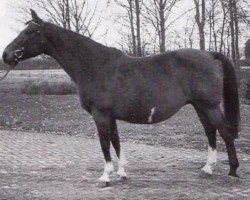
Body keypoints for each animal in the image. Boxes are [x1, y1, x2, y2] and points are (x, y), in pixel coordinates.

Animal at [1, 10, 240, 185]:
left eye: (30, 32)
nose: (6, 55)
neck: (95, 66)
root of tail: (209, 54)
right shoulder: (111, 116)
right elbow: (116, 141)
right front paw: (122, 173)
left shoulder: (100, 114)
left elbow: (105, 143)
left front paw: (105, 176)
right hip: (200, 106)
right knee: (210, 131)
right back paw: (207, 169)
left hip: (209, 105)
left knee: (225, 132)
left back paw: (232, 170)